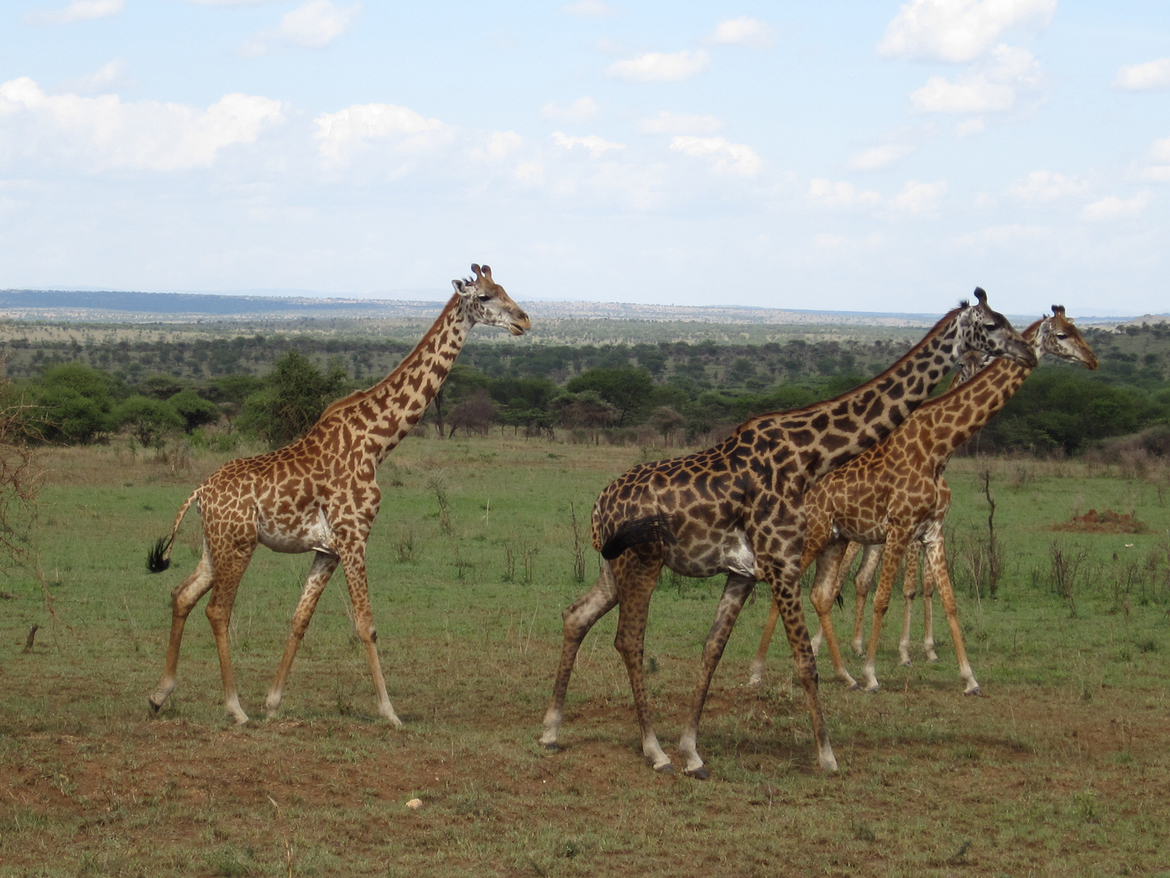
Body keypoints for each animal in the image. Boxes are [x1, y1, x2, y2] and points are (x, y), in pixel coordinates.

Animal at [146, 264, 530, 725]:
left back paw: (159, 695)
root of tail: (200, 490)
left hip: (213, 545)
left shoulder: (326, 549)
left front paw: (273, 703)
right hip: (238, 544)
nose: (525, 320)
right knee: (218, 610)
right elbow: (366, 623)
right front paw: (390, 713)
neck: (376, 441)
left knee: (182, 595)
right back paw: (235, 709)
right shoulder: (353, 537)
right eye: (486, 296)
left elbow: (299, 621)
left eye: (505, 288)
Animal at [540, 288, 1036, 777]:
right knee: (628, 639)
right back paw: (652, 750)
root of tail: (599, 506)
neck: (808, 457)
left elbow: (713, 650)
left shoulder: (744, 571)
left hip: (614, 565)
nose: (1028, 352)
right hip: (643, 561)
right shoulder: (781, 560)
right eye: (993, 325)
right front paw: (827, 756)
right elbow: (804, 660)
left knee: (576, 615)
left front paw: (693, 752)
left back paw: (551, 731)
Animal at [749, 306, 1097, 697]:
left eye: (1077, 328)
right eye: (1062, 335)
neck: (938, 445)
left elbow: (948, 600)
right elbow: (887, 597)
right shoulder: (902, 527)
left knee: (821, 594)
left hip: (835, 537)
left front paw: (969, 678)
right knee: (791, 591)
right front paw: (875, 672)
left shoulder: (932, 530)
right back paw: (761, 670)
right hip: (816, 533)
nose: (1092, 360)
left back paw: (842, 674)